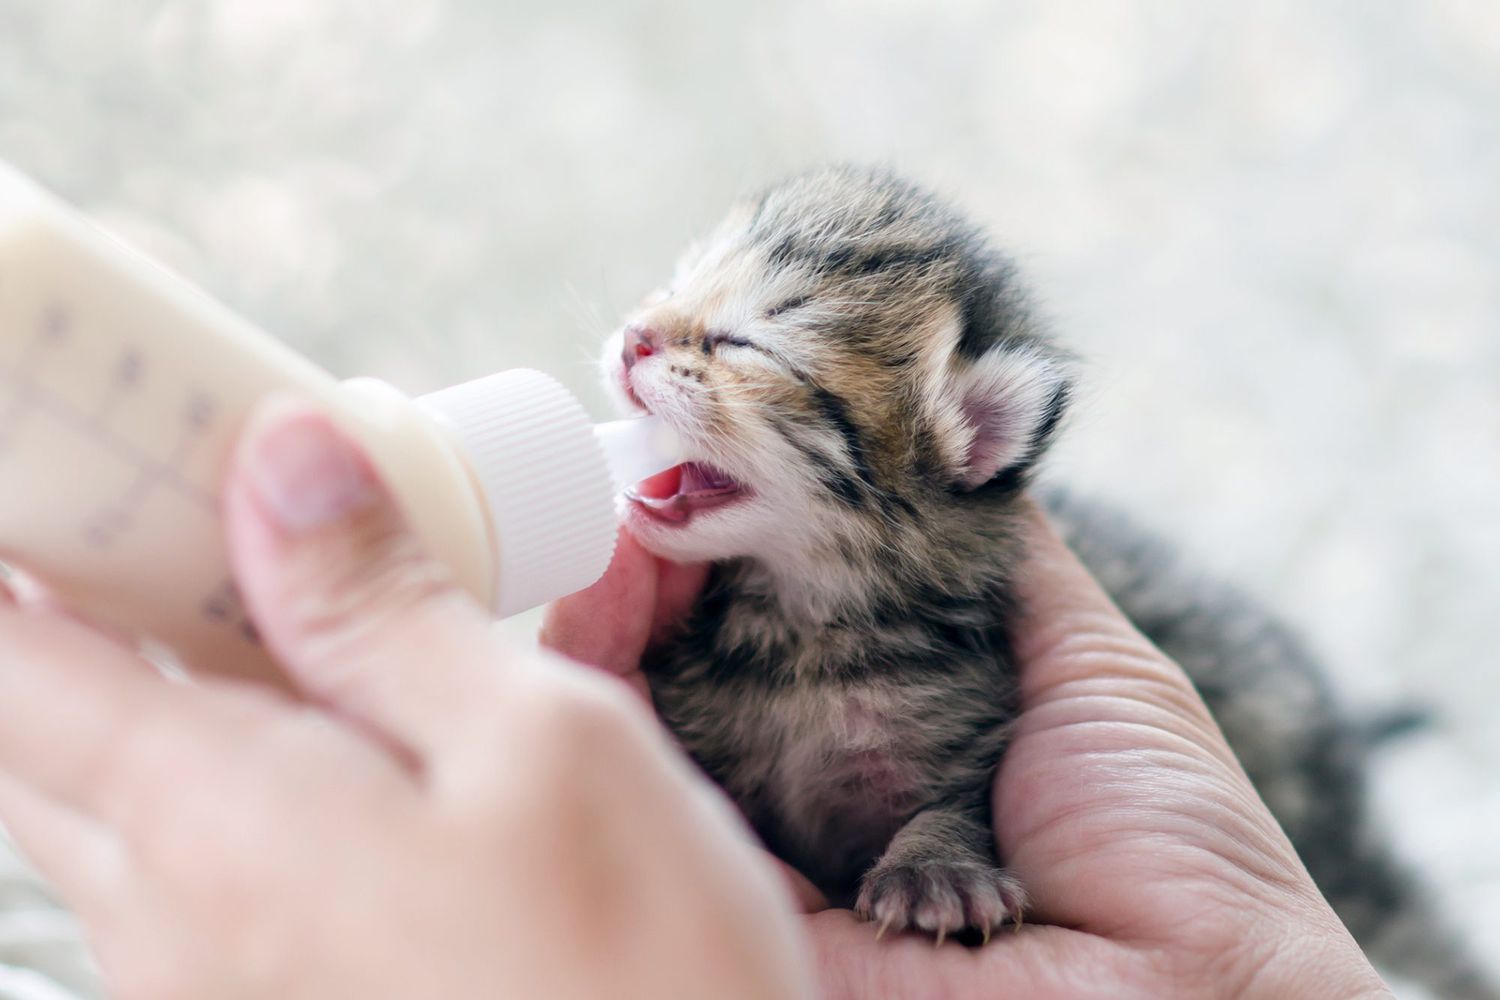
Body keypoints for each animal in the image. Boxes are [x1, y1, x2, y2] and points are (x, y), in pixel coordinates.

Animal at [603, 167, 1494, 995]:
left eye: (745, 344)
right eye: (676, 285)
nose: (634, 336)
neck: (803, 631)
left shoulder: (971, 723)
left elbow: (956, 806)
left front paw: (935, 870)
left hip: (1326, 820)